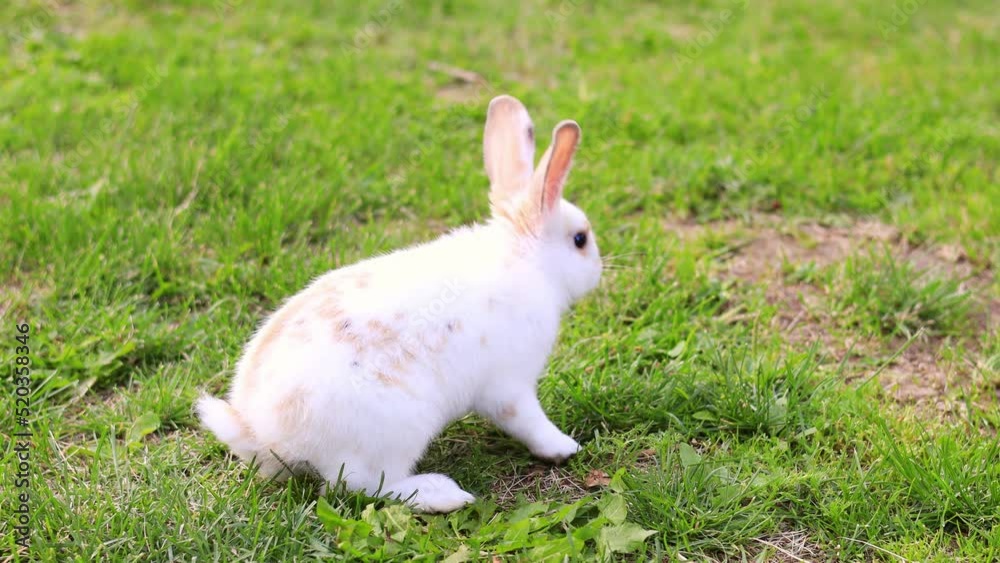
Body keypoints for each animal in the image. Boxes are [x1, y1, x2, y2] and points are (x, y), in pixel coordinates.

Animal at [195, 94, 600, 512]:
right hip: (394, 436)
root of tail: (267, 435)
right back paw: (444, 493)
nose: (599, 270)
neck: (527, 259)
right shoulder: (511, 387)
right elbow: (529, 422)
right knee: (362, 486)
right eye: (581, 240)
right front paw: (565, 447)